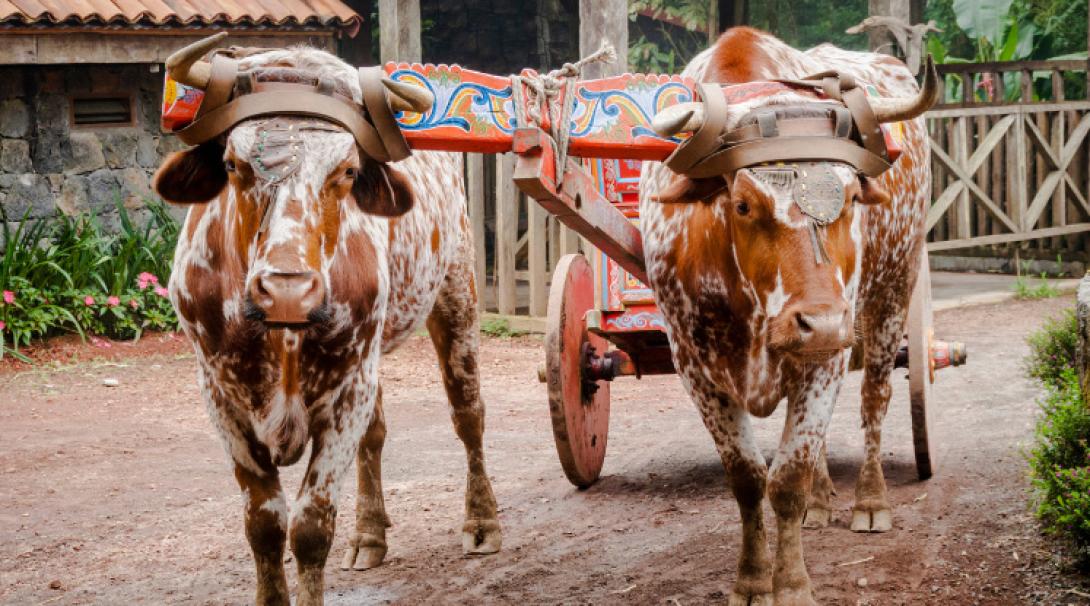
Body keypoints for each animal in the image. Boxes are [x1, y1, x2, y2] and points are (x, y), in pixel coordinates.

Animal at [152, 37, 501, 605]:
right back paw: (370, 534)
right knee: (376, 436)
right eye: (233, 165)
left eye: (348, 171)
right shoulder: (222, 399)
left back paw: (482, 522)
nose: (287, 291)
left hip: (456, 293)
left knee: (468, 415)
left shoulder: (346, 393)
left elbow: (311, 529)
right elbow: (265, 526)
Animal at [640, 27, 936, 604]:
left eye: (850, 196)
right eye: (742, 205)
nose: (821, 321)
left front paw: (793, 584)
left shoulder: (827, 356)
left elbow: (788, 478)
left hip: (893, 290)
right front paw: (753, 579)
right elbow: (750, 478)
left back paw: (870, 500)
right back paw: (820, 505)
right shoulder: (694, 367)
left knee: (874, 399)